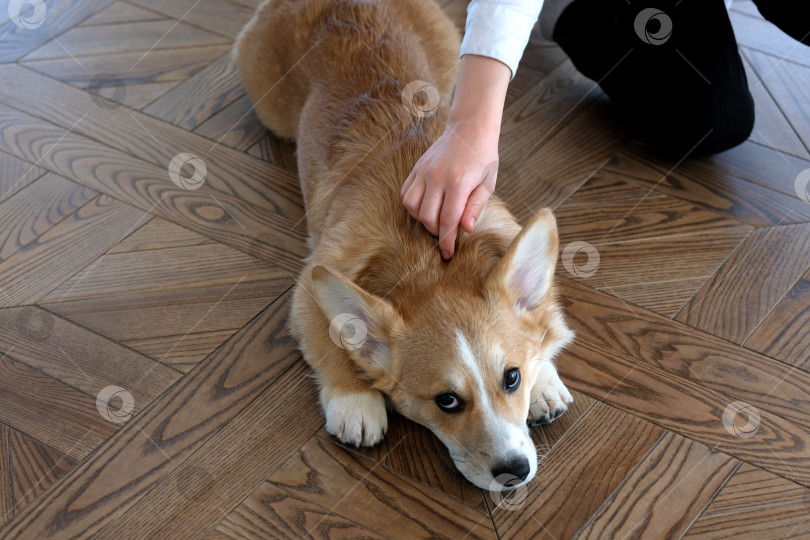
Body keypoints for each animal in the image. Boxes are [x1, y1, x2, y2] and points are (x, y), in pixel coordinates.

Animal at [234, 0, 576, 490]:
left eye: (512, 378)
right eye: (446, 401)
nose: (514, 472)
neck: (427, 256)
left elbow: (543, 329)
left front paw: (544, 378)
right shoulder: (308, 292)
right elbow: (331, 339)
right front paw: (355, 401)